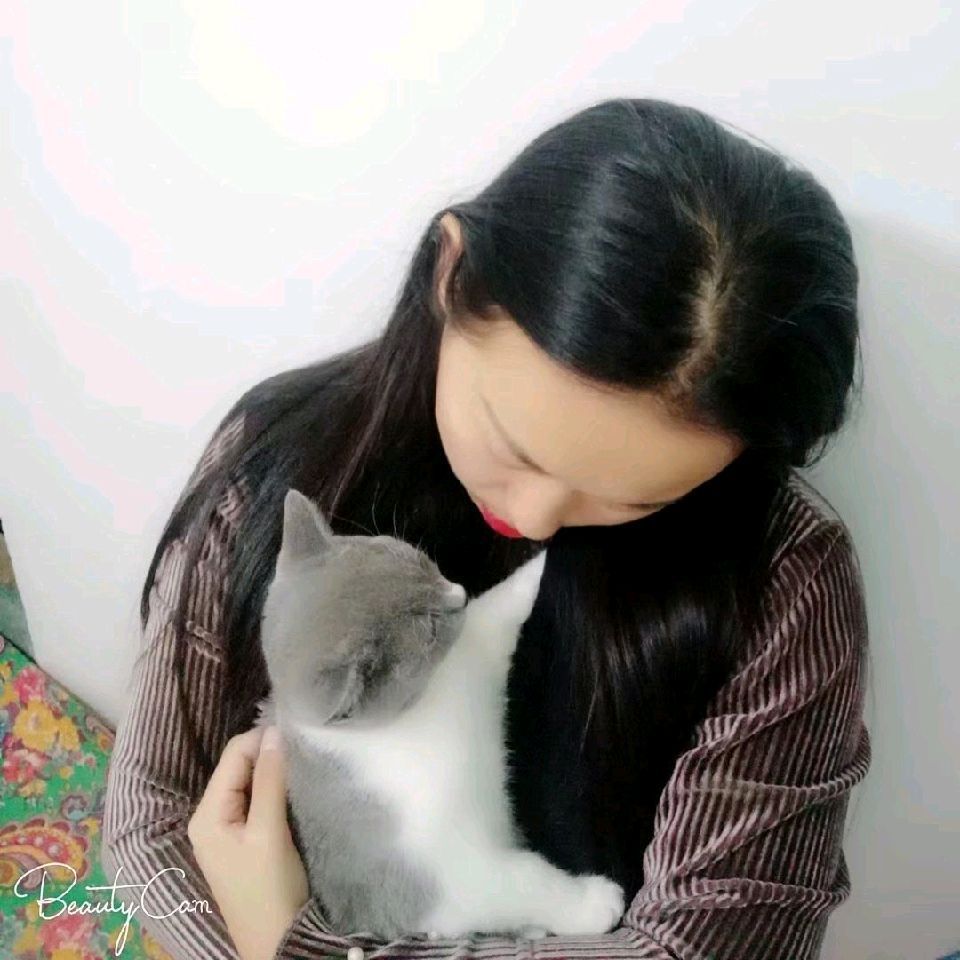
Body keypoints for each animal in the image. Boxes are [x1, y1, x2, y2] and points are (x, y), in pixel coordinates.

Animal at [253, 487, 625, 942]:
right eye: (428, 627)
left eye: (421, 561)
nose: (458, 594)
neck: (428, 706)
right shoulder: (437, 879)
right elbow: (523, 880)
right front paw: (593, 904)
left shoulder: (479, 650)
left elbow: (507, 598)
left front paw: (554, 542)